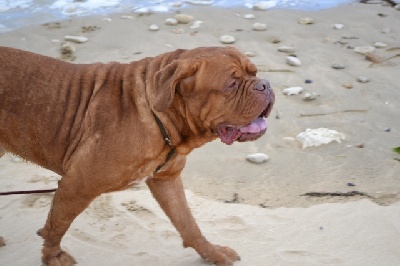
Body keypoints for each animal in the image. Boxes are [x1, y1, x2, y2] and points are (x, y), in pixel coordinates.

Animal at [0, 46, 276, 264]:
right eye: (232, 84)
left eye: (254, 73)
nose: (266, 84)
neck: (160, 114)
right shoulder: (76, 186)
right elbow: (56, 226)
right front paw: (52, 257)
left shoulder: (167, 180)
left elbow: (188, 223)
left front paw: (212, 253)